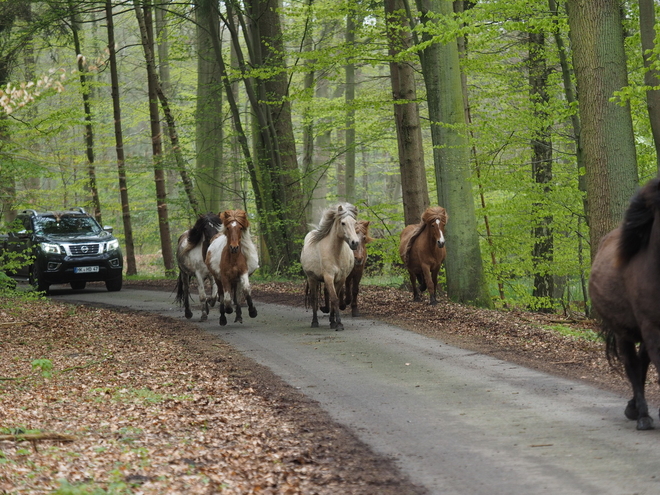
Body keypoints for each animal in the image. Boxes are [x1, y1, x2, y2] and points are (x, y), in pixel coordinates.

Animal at [300, 203, 358, 332]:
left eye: (355, 222)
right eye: (343, 223)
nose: (355, 243)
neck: (335, 253)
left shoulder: (340, 279)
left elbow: (333, 299)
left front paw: (334, 322)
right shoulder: (328, 277)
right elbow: (335, 299)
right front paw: (339, 324)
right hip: (312, 279)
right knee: (314, 299)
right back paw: (314, 322)